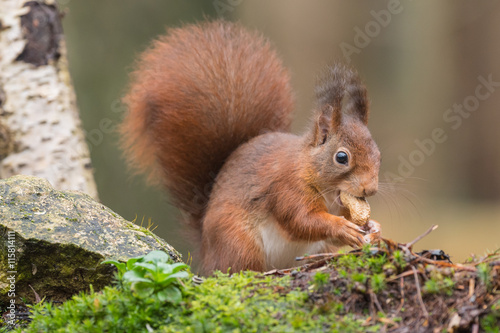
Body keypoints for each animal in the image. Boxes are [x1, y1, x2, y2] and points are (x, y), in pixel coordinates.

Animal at [120, 20, 378, 272]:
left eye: (378, 153)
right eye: (341, 157)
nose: (370, 189)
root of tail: (206, 251)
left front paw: (374, 228)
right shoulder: (286, 189)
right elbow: (302, 221)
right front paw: (342, 227)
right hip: (239, 242)